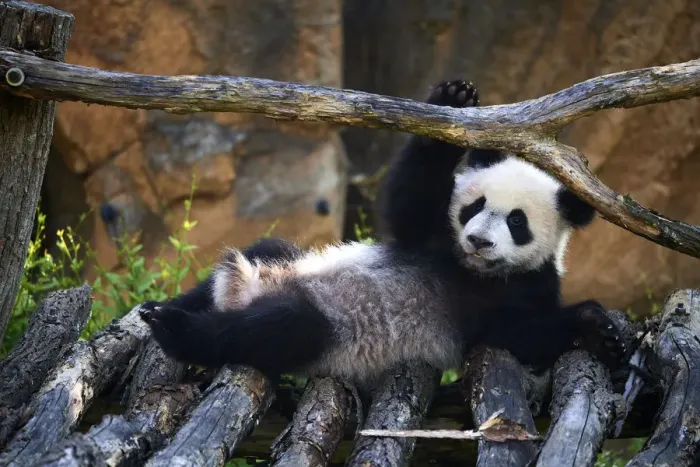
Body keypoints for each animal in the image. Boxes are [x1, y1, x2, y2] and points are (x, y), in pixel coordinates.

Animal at [139, 79, 625, 387]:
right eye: (475, 207)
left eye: (517, 222)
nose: (478, 241)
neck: (471, 270)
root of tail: (242, 290)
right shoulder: (432, 239)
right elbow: (408, 206)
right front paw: (455, 100)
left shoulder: (525, 288)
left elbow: (520, 335)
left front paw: (595, 329)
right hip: (279, 263)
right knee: (262, 253)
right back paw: (163, 310)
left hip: (320, 328)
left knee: (281, 328)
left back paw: (177, 330)